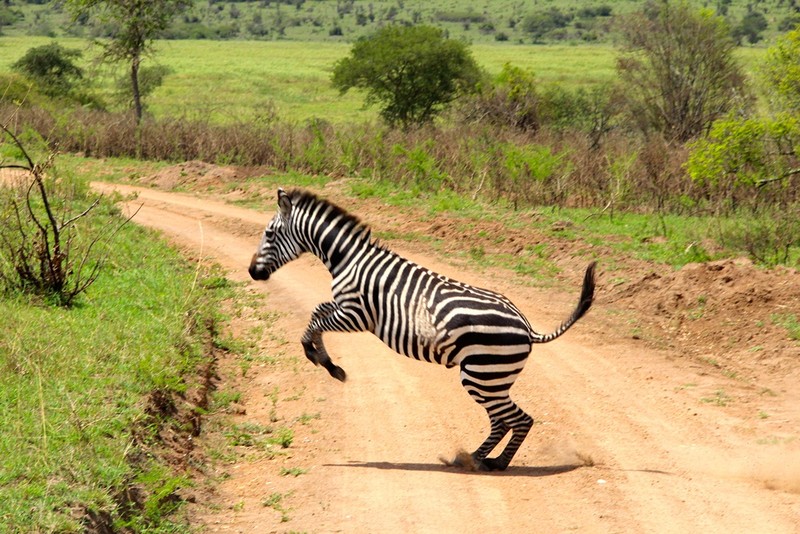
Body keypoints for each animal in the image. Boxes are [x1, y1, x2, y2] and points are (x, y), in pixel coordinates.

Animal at [250, 189, 592, 474]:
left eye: (269, 233)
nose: (253, 272)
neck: (348, 260)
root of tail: (527, 326)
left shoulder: (356, 315)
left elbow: (316, 319)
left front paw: (324, 361)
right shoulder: (345, 309)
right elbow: (318, 310)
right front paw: (328, 362)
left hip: (482, 375)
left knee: (519, 419)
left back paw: (492, 463)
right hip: (492, 379)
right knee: (502, 421)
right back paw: (475, 458)